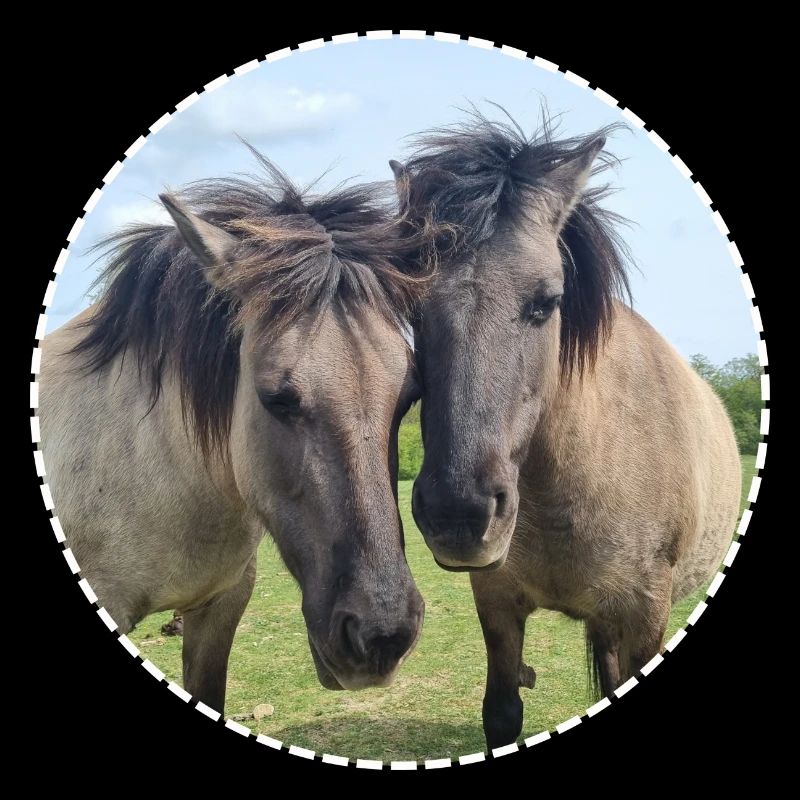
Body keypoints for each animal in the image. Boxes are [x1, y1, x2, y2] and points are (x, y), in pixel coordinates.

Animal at [389, 112, 741, 748]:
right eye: (412, 308)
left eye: (546, 302)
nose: (459, 515)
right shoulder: (497, 602)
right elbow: (502, 710)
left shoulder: (644, 614)